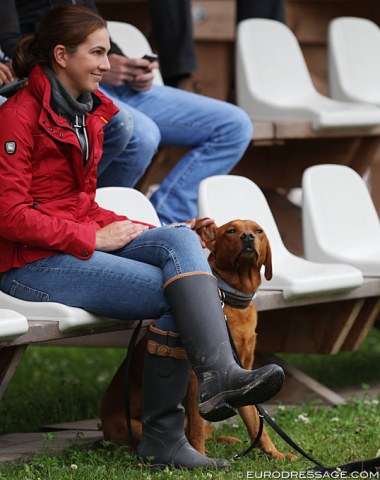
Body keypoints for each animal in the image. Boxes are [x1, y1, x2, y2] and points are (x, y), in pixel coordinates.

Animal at [99, 219, 296, 460]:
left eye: (258, 231)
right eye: (231, 231)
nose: (248, 237)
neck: (232, 300)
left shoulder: (244, 370)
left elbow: (255, 422)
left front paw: (276, 454)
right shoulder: (196, 381)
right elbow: (197, 426)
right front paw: (200, 454)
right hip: (135, 426)